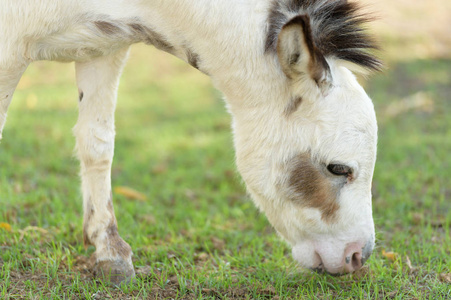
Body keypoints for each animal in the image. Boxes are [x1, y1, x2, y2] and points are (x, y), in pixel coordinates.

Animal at [0, 0, 382, 284]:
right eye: (338, 168)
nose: (357, 257)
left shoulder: (101, 48)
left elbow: (98, 144)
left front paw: (110, 253)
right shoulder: (9, 47)